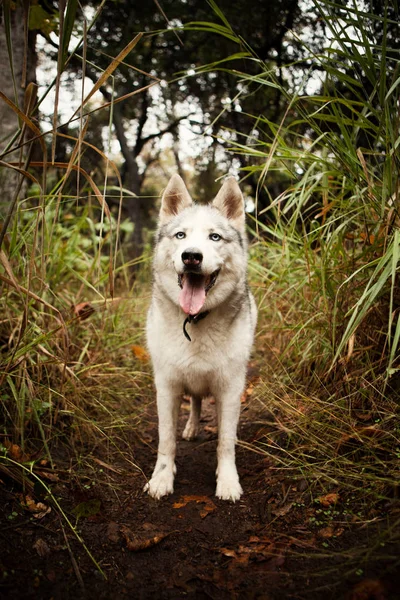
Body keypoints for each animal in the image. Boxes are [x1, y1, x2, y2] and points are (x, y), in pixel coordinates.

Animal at [145, 175, 258, 502]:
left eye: (215, 237)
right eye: (181, 235)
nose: (192, 256)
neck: (194, 321)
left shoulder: (231, 389)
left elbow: (226, 442)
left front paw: (228, 481)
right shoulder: (167, 387)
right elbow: (166, 441)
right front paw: (162, 478)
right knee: (194, 402)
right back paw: (192, 428)